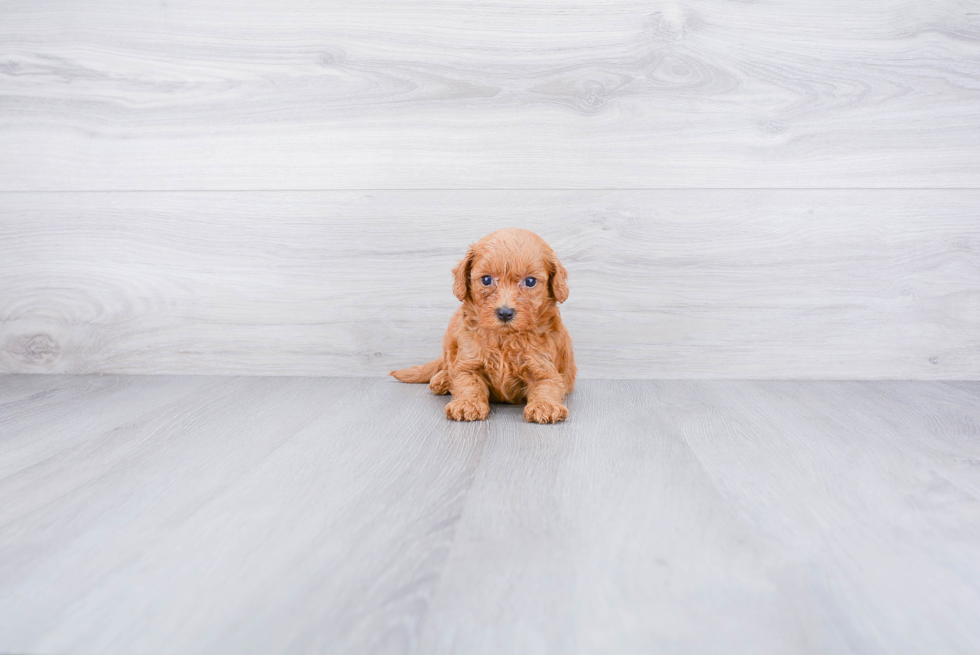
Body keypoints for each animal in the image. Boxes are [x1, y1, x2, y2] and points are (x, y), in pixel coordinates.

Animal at [388, 229, 576, 426]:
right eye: (486, 279)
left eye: (530, 281)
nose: (505, 313)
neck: (504, 338)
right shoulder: (469, 362)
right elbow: (468, 383)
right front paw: (467, 403)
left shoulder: (544, 368)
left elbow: (547, 386)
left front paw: (545, 406)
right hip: (450, 337)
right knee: (448, 363)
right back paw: (444, 379)